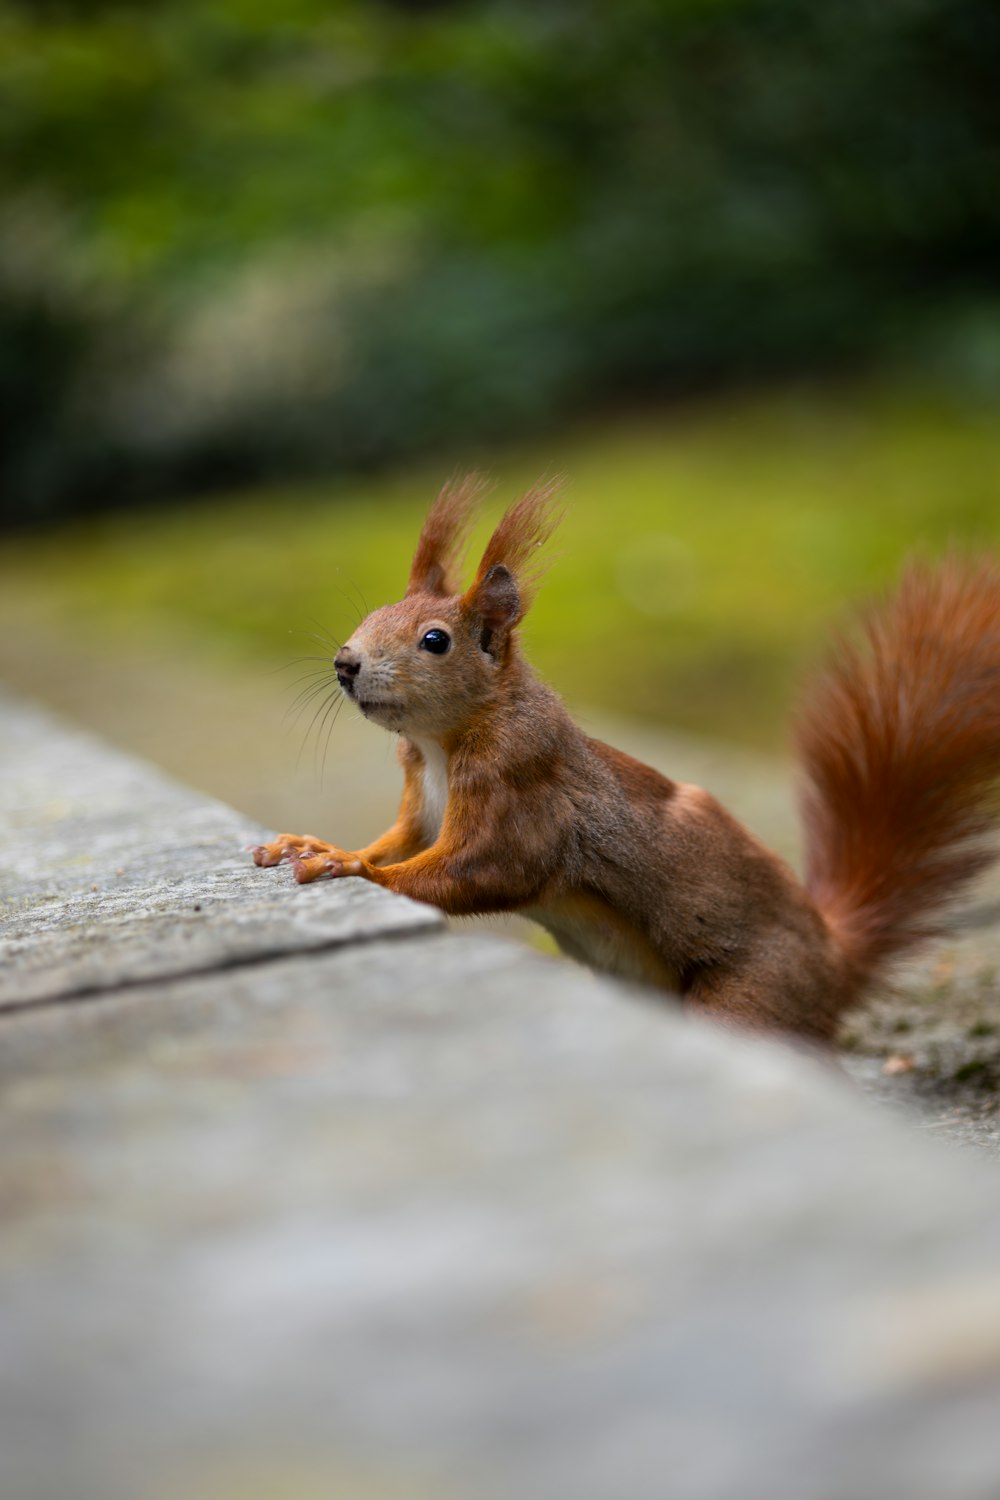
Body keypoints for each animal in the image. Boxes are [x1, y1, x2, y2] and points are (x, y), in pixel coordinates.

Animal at [251, 480, 1000, 1044]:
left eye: (435, 640)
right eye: (377, 610)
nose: (345, 664)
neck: (441, 743)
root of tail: (834, 961)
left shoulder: (524, 791)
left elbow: (483, 870)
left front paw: (356, 871)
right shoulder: (422, 801)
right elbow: (403, 840)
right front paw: (317, 845)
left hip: (752, 994)